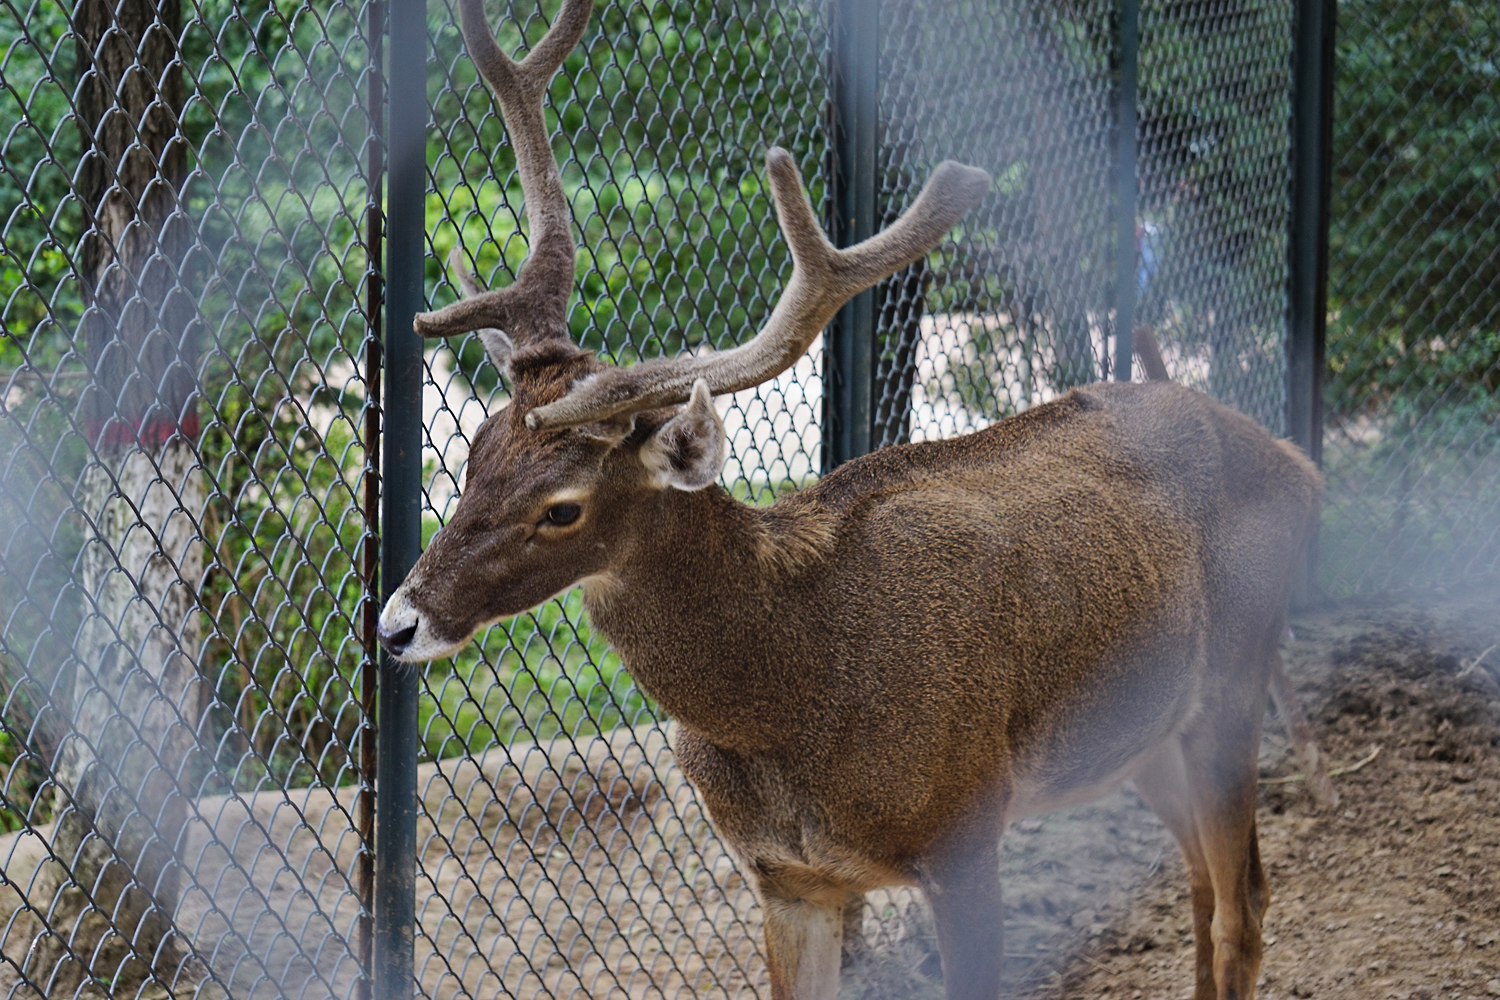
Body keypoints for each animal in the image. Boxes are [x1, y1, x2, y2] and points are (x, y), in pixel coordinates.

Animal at [377, 2, 1325, 998]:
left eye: (562, 507)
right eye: (474, 452)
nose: (398, 624)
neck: (795, 701)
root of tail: (1298, 462)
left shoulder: (966, 831)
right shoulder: (785, 880)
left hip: (1235, 679)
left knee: (1245, 905)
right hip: (1143, 735)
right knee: (1208, 886)